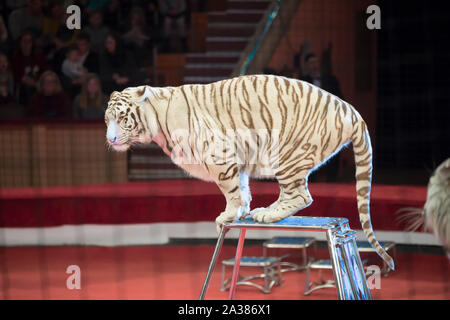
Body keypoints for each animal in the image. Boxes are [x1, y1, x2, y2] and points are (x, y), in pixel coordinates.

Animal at [104, 74, 394, 270]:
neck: (156, 118)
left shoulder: (218, 155)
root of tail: (353, 111)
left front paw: (229, 214)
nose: (110, 138)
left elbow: (230, 189)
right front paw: (240, 211)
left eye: (121, 119)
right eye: (107, 120)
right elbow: (241, 188)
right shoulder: (236, 157)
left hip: (288, 155)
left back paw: (268, 213)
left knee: (300, 196)